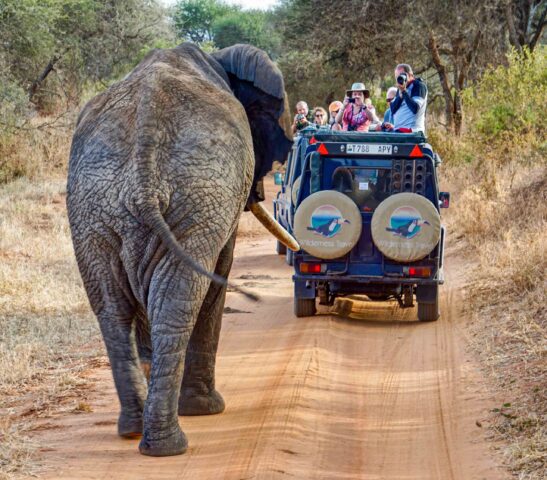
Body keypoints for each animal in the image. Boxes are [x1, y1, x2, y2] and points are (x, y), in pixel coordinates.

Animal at [68, 43, 300, 456]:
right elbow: (220, 271)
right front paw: (206, 408)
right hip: (195, 196)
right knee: (179, 299)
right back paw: (169, 441)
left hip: (95, 206)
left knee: (113, 307)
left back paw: (134, 429)